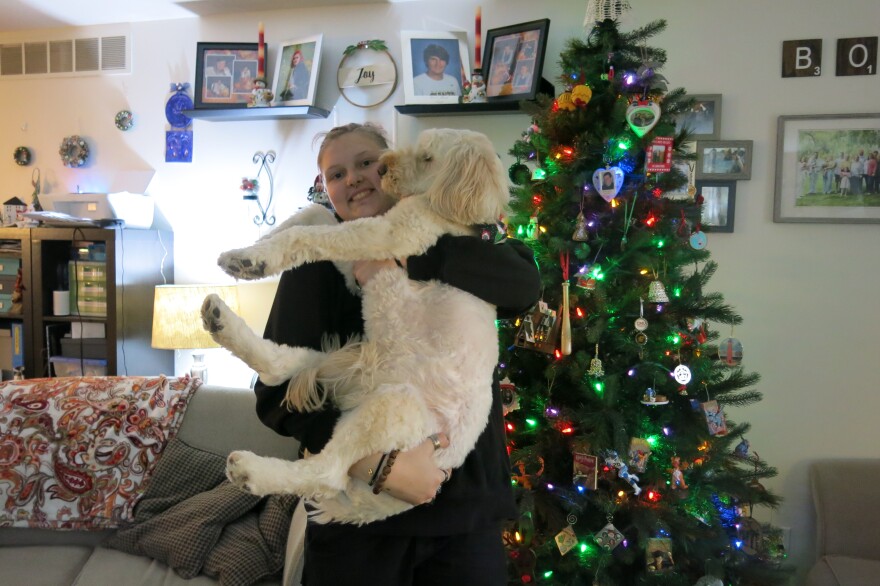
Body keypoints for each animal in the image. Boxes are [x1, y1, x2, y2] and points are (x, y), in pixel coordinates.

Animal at [201, 126, 508, 520]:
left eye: (428, 158)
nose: (381, 168)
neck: (442, 207)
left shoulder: (387, 236)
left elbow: (308, 235)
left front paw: (257, 257)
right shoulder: (359, 265)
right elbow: (315, 212)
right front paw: (251, 250)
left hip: (393, 406)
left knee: (327, 473)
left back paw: (252, 471)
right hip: (343, 368)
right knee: (277, 368)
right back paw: (220, 322)